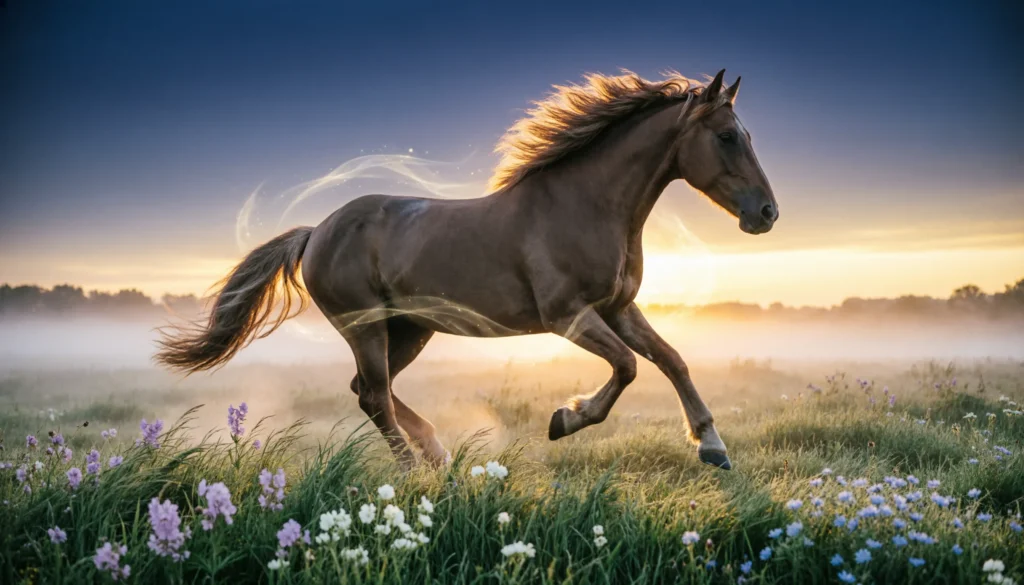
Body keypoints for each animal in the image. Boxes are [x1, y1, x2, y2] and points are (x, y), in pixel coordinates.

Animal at [156, 69, 778, 471]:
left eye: (749, 134)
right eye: (727, 136)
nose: (767, 214)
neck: (584, 205)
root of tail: (316, 232)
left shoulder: (618, 309)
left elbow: (671, 360)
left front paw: (713, 447)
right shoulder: (568, 317)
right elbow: (626, 368)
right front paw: (565, 418)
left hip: (410, 329)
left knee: (367, 391)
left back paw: (437, 453)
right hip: (367, 327)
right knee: (375, 396)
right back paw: (414, 473)